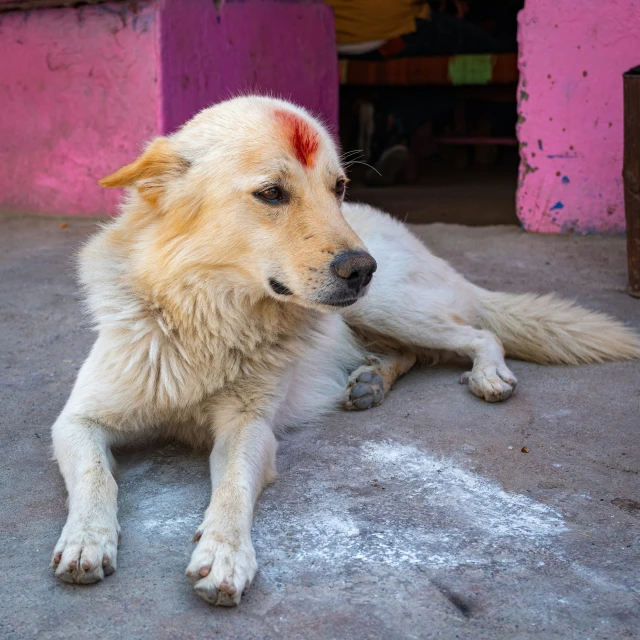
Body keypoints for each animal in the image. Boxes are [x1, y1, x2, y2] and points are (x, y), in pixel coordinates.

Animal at [51, 94, 640, 604]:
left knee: (477, 333)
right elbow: (96, 476)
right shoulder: (77, 420)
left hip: (387, 308)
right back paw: (370, 380)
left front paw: (224, 554)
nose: (363, 269)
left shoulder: (249, 429)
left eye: (337, 186)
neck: (211, 316)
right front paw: (87, 539)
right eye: (272, 193)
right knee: (413, 352)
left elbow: (233, 490)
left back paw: (485, 376)